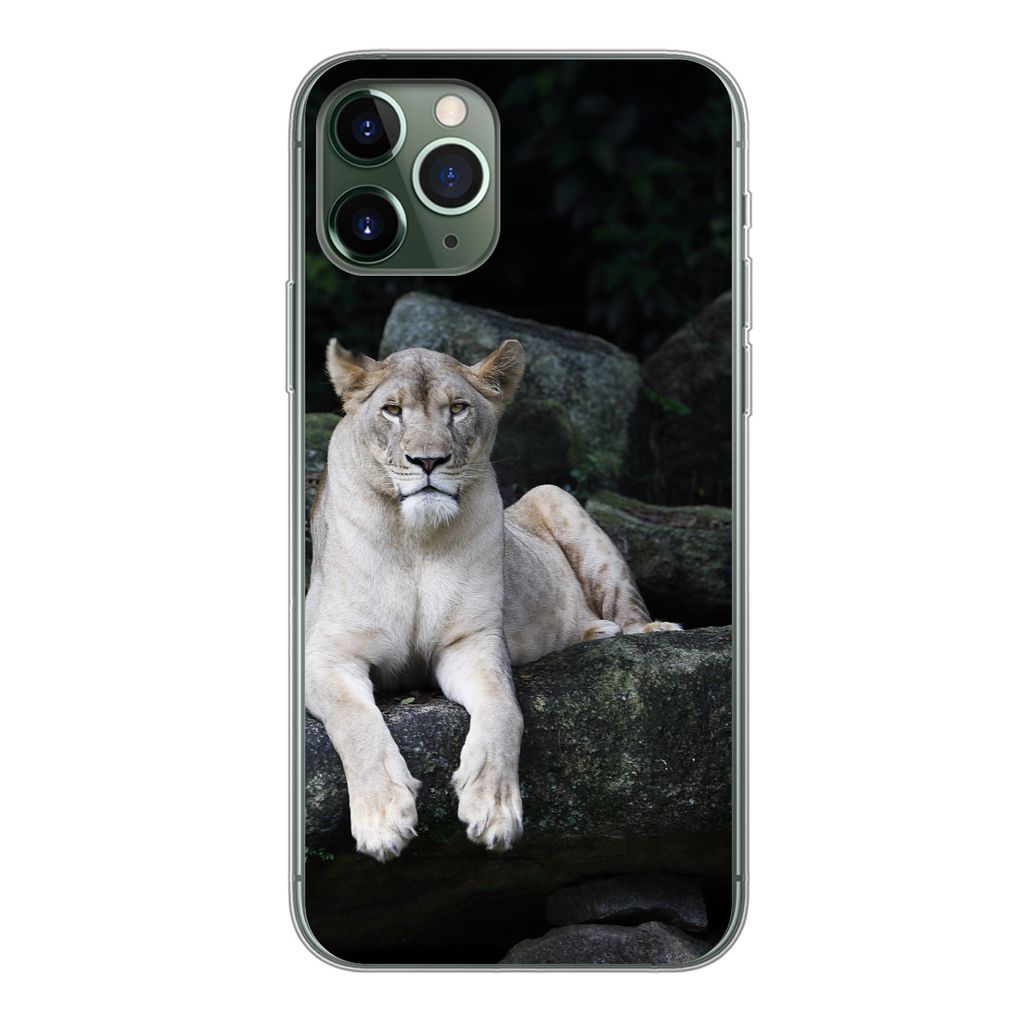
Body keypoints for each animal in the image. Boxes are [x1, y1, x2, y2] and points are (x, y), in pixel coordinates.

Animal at [304, 337, 680, 862]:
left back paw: (640, 629)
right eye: (392, 410)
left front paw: (494, 809)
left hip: (554, 496)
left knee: (626, 608)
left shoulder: (472, 642)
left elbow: (504, 710)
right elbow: (356, 721)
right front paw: (383, 821)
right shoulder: (327, 655)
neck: (414, 540)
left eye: (458, 409)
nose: (428, 461)